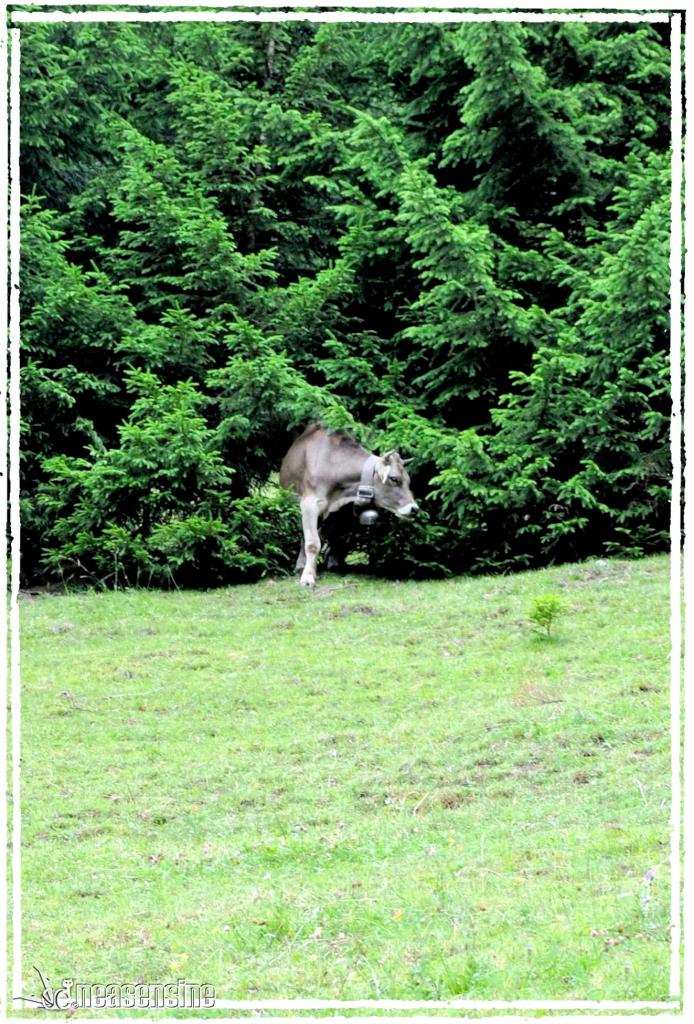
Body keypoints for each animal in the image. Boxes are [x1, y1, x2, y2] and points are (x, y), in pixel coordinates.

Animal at [280, 421, 421, 585]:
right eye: (394, 478)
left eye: (408, 481)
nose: (414, 508)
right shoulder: (310, 504)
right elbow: (312, 542)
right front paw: (308, 577)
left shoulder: (338, 510)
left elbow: (332, 536)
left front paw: (328, 565)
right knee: (303, 536)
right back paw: (301, 565)